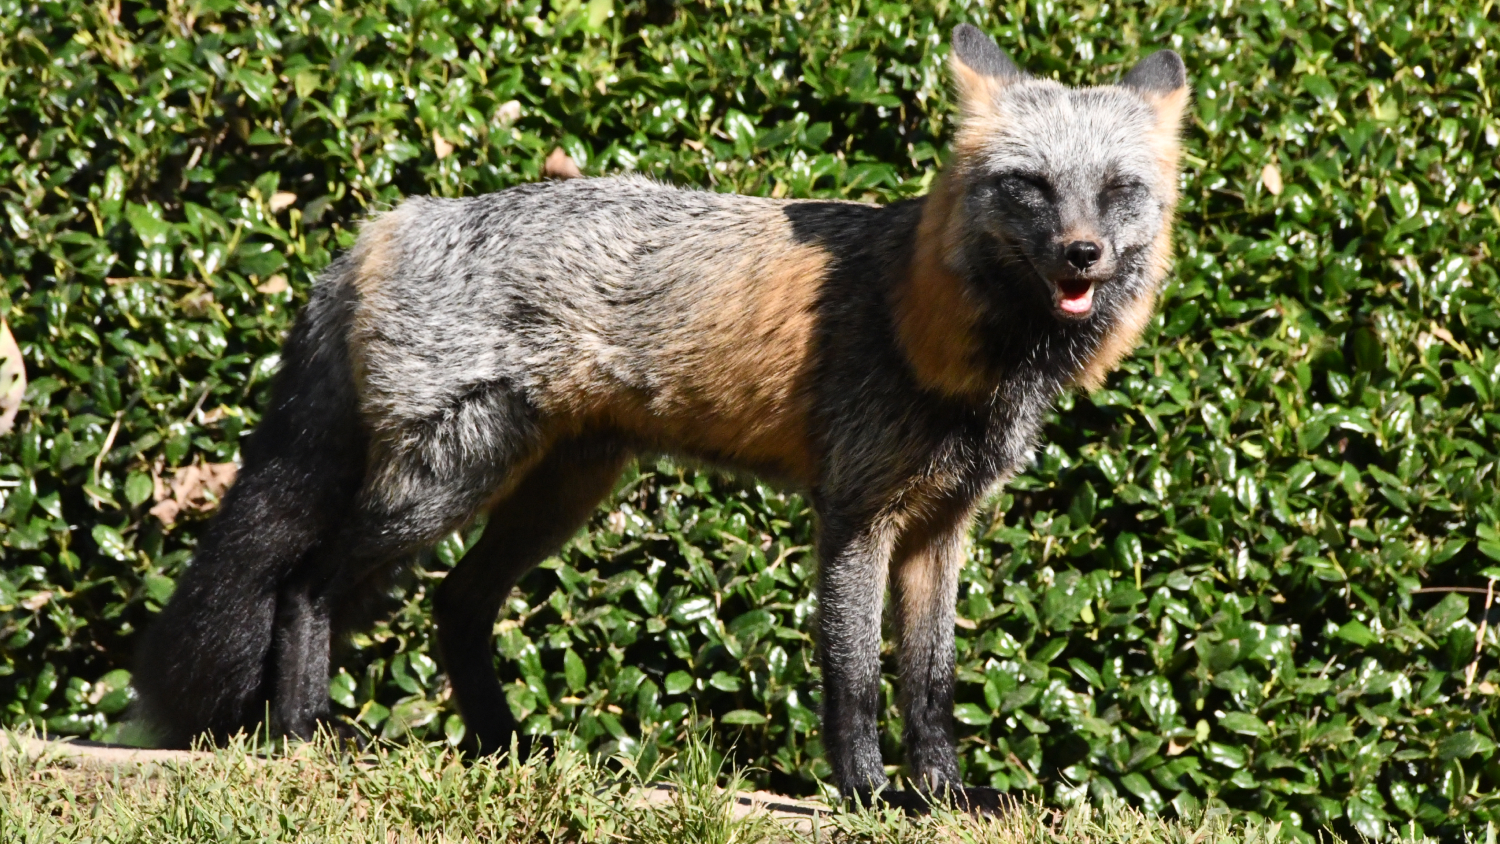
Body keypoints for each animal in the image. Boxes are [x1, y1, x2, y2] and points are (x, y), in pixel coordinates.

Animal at [132, 25, 1188, 812]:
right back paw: (304, 734)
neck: (942, 331)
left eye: (1118, 191)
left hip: (553, 496)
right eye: (1031, 187)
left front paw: (946, 798)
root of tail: (390, 221)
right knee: (307, 584)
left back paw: (506, 750)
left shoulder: (941, 528)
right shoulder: (855, 517)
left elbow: (930, 684)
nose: (1083, 256)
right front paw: (867, 795)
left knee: (455, 607)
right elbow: (853, 682)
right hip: (444, 483)